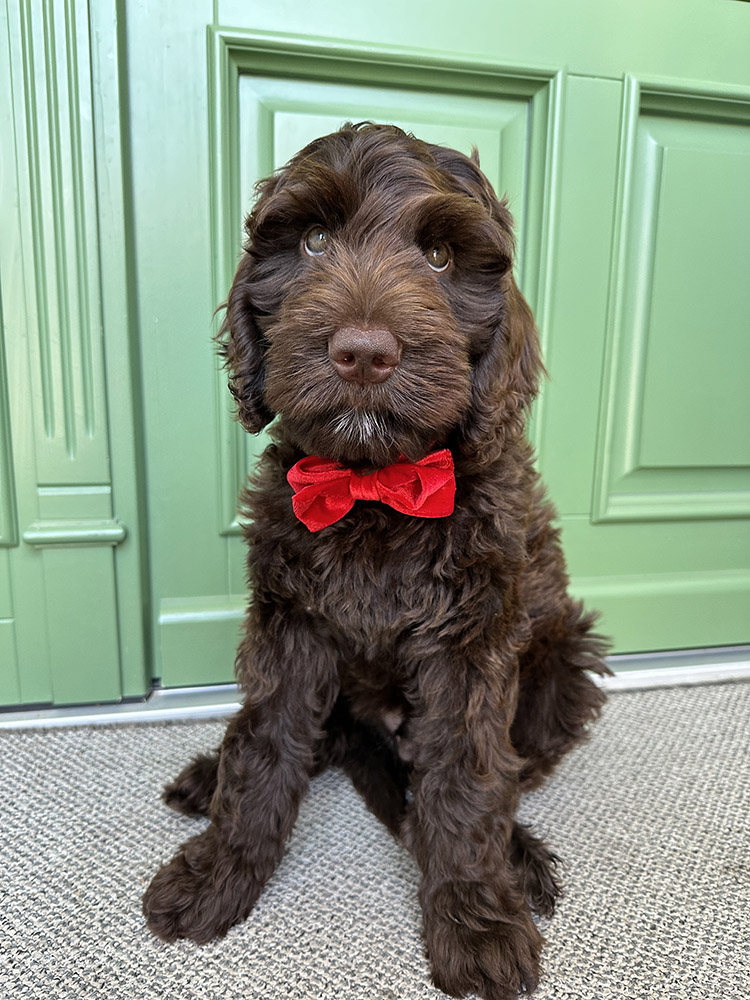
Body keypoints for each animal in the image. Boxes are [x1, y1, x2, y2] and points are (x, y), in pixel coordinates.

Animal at [142, 123, 612, 1000]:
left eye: (439, 257)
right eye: (314, 242)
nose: (363, 353)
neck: (374, 486)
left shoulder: (470, 646)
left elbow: (467, 777)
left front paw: (476, 920)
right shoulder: (289, 626)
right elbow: (265, 744)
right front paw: (219, 873)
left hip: (566, 660)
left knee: (499, 766)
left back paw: (518, 857)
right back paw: (207, 776)